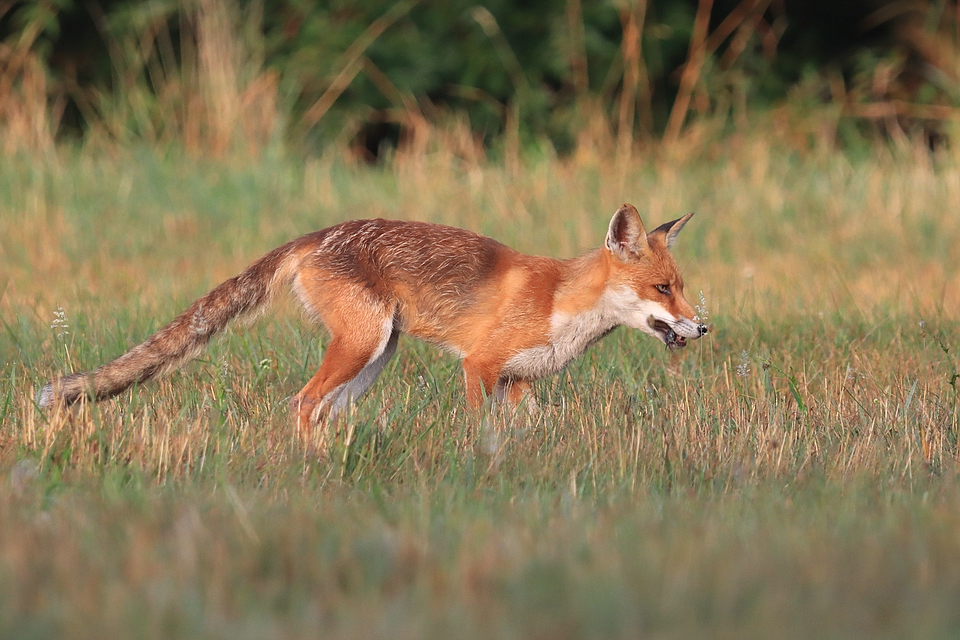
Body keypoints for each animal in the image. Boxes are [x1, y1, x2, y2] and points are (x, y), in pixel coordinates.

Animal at [37, 204, 704, 436]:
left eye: (682, 288)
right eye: (662, 289)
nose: (703, 328)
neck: (562, 304)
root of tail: (315, 235)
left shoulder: (519, 384)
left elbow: (527, 436)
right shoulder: (480, 365)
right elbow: (480, 432)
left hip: (375, 356)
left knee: (319, 409)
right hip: (363, 343)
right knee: (302, 403)